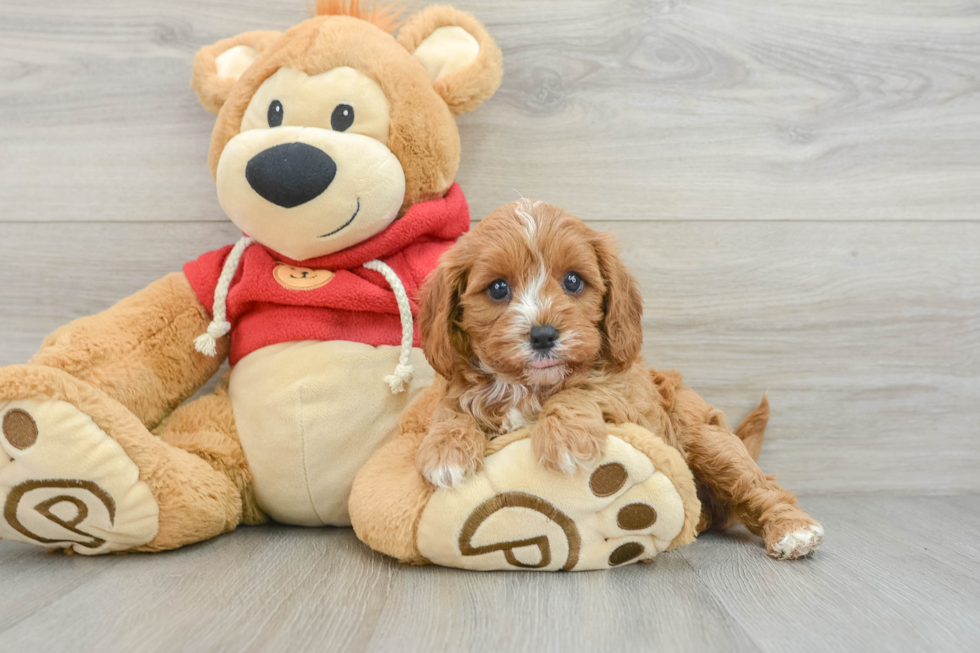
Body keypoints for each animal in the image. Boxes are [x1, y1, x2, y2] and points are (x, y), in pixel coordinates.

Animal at [418, 197, 824, 556]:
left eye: (573, 281)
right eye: (499, 288)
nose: (544, 335)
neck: (529, 386)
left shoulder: (627, 396)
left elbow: (582, 390)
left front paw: (566, 438)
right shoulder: (460, 387)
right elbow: (451, 407)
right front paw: (446, 451)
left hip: (709, 440)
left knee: (759, 484)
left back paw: (793, 530)